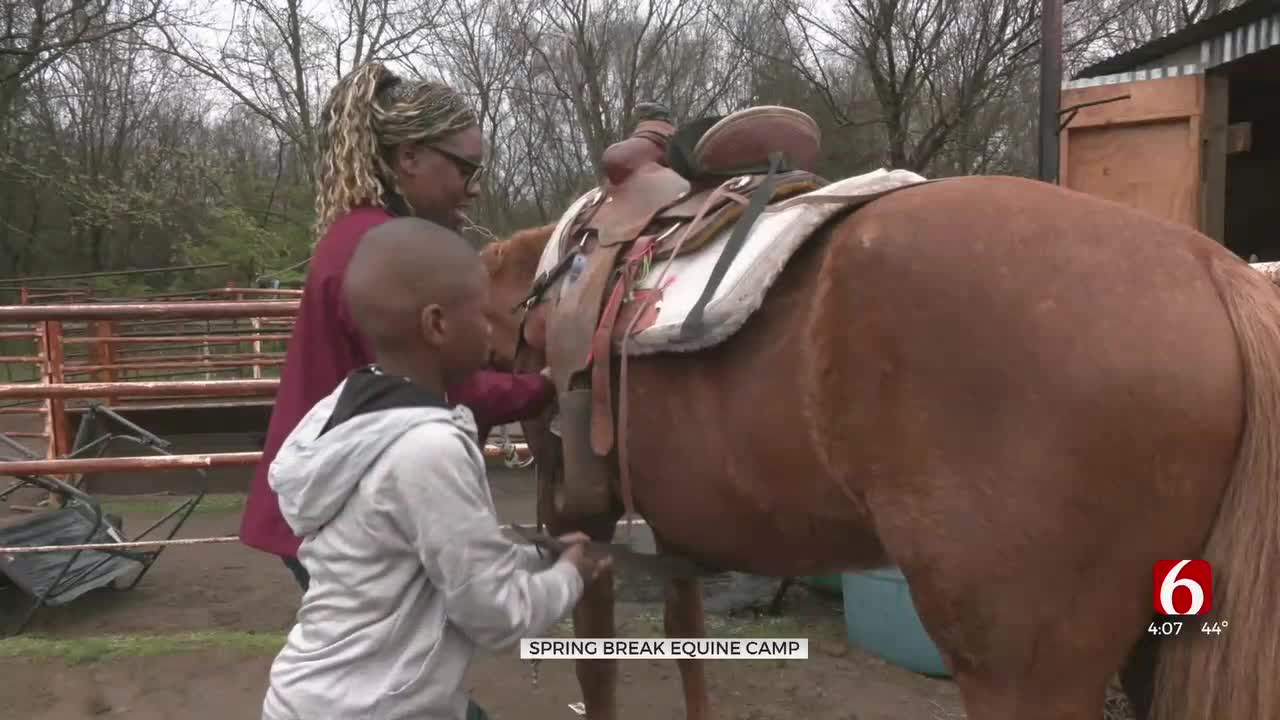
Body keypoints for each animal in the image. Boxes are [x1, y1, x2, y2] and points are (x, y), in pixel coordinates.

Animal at [481, 175, 1280, 717]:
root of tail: (1213, 268)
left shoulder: (582, 520)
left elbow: (599, 669)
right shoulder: (675, 534)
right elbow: (690, 652)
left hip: (1023, 671)